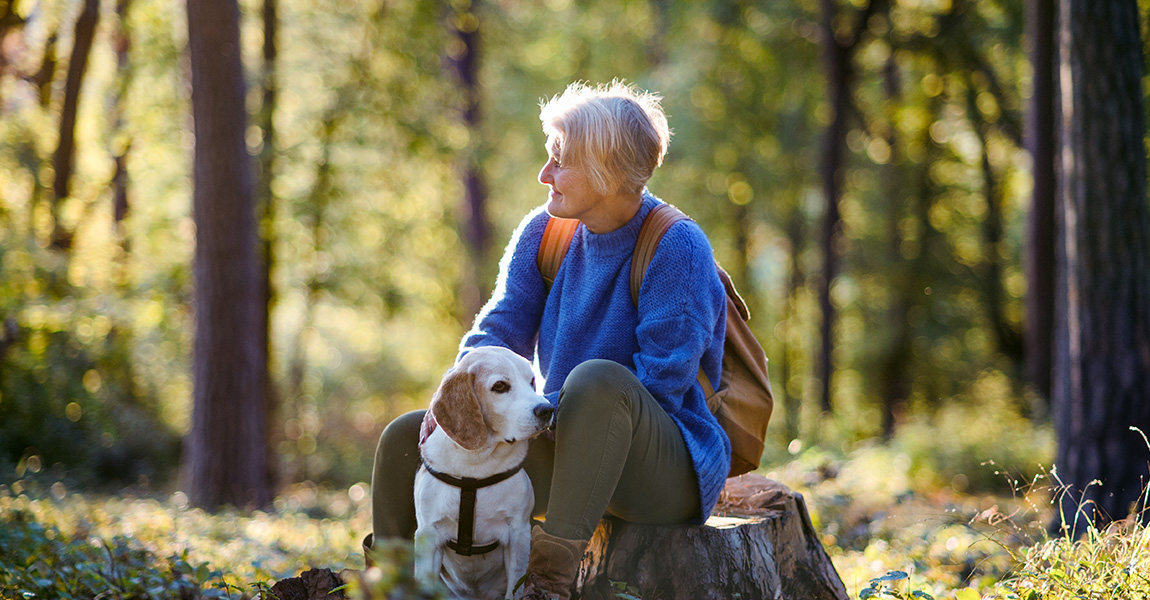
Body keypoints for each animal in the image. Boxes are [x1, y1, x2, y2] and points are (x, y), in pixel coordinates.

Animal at [414, 342, 556, 593]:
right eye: (500, 386)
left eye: (531, 381)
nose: (547, 410)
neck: (476, 466)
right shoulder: (427, 537)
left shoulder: (518, 535)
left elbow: (515, 588)